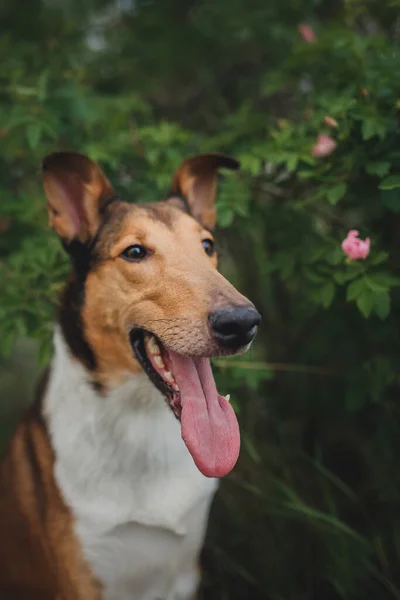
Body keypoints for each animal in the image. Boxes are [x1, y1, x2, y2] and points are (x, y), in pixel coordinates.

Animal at [0, 154, 260, 600]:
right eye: (135, 252)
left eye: (207, 246)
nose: (242, 322)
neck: (140, 421)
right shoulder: (81, 582)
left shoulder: (183, 575)